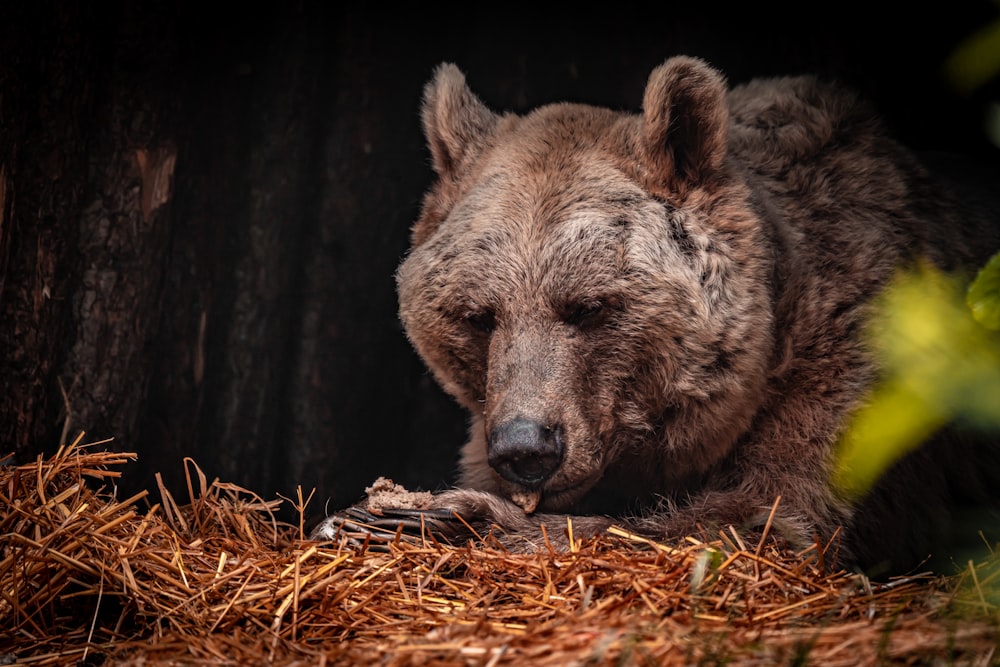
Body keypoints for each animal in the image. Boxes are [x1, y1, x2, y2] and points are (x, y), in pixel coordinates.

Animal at [314, 56, 1000, 576]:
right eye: (479, 315)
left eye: (589, 306)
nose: (527, 448)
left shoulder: (861, 354)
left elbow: (766, 517)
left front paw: (421, 516)